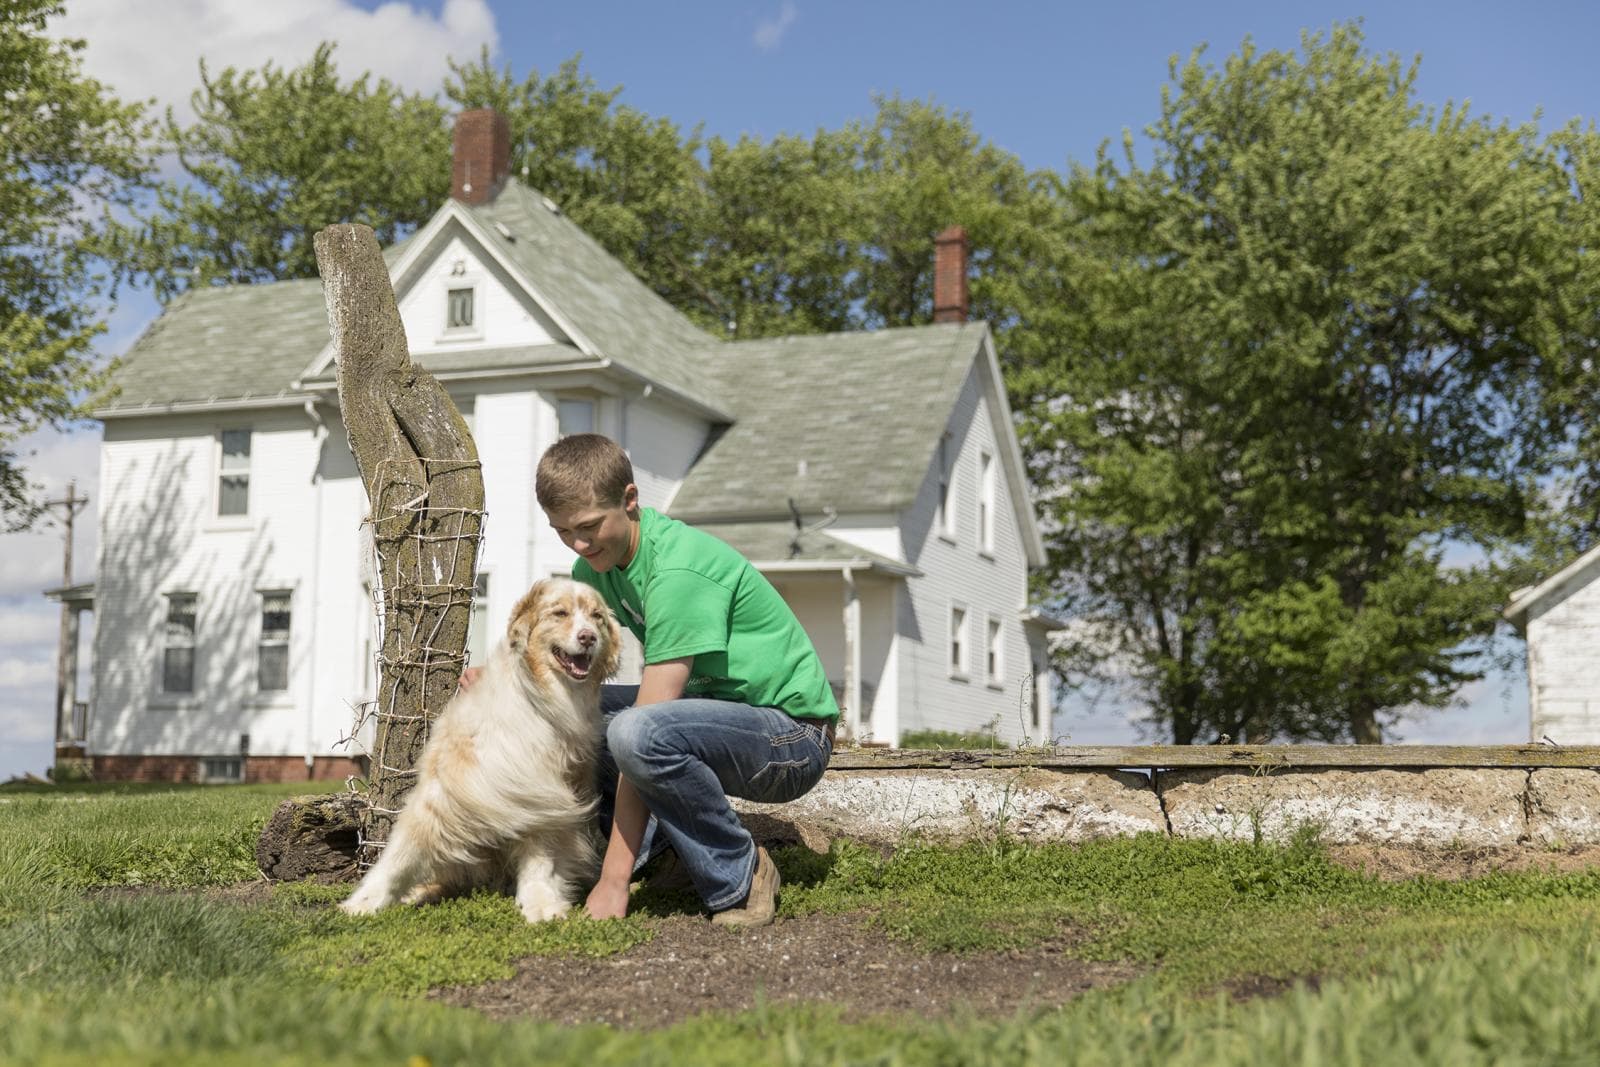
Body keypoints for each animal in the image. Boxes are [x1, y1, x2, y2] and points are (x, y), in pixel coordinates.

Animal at [340, 579, 620, 921]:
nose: (588, 637)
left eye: (597, 617)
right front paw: (364, 902)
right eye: (560, 613)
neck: (539, 703)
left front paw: (541, 904)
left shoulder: (543, 795)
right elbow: (400, 855)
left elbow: (540, 858)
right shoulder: (449, 790)